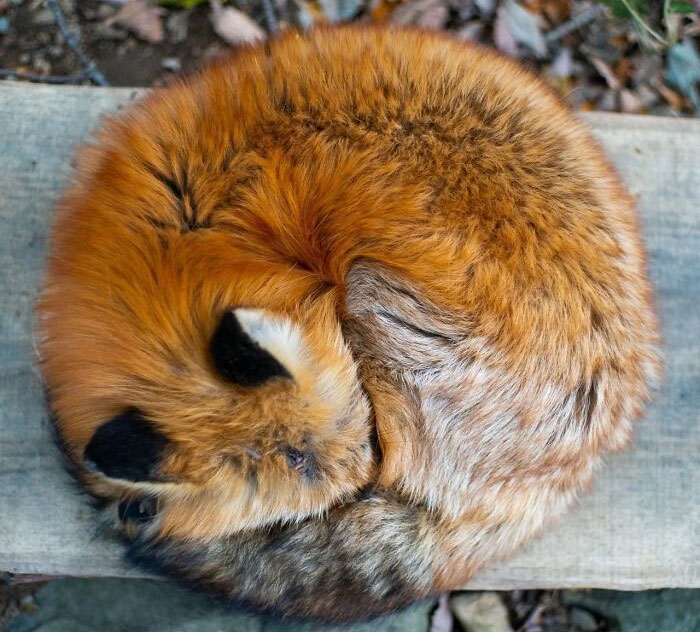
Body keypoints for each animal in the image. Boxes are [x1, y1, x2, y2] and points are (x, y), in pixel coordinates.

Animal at [36, 24, 661, 622]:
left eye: (370, 442)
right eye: (310, 473)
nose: (368, 474)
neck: (190, 235)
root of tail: (576, 467)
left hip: (369, 296)